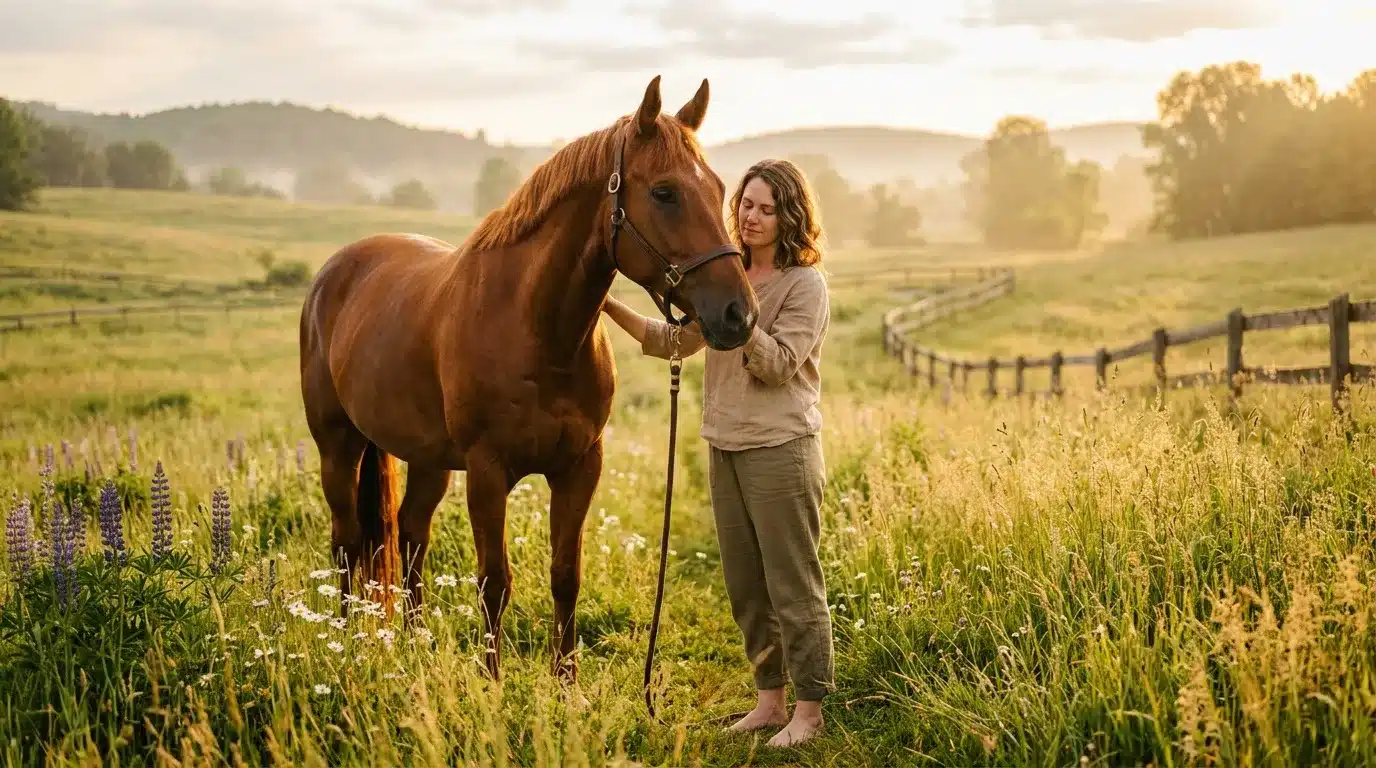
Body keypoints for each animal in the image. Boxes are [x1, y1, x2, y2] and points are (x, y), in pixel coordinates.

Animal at [298, 75, 760, 683]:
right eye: (665, 193)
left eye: (719, 187)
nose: (738, 314)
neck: (537, 330)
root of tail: (335, 272)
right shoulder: (488, 472)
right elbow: (494, 583)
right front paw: (492, 684)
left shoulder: (579, 468)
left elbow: (565, 576)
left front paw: (567, 685)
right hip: (339, 446)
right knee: (348, 544)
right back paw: (348, 640)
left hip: (426, 458)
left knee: (411, 535)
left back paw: (415, 645)